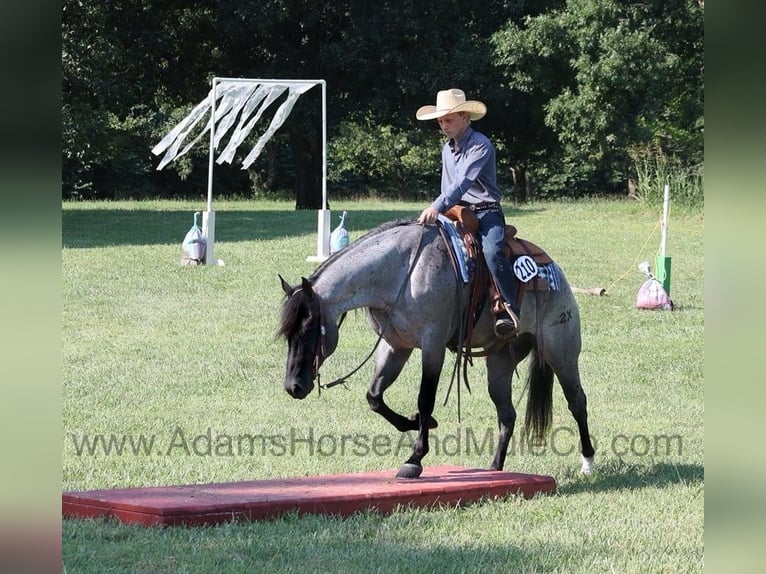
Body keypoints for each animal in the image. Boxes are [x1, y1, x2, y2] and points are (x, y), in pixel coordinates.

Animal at [277, 219, 595, 479]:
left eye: (308, 327)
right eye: (287, 333)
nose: (293, 387)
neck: (402, 270)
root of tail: (555, 273)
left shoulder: (433, 345)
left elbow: (424, 398)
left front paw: (415, 458)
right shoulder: (395, 346)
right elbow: (374, 396)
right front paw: (418, 422)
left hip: (561, 353)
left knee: (577, 402)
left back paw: (588, 462)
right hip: (500, 362)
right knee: (507, 414)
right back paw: (494, 469)